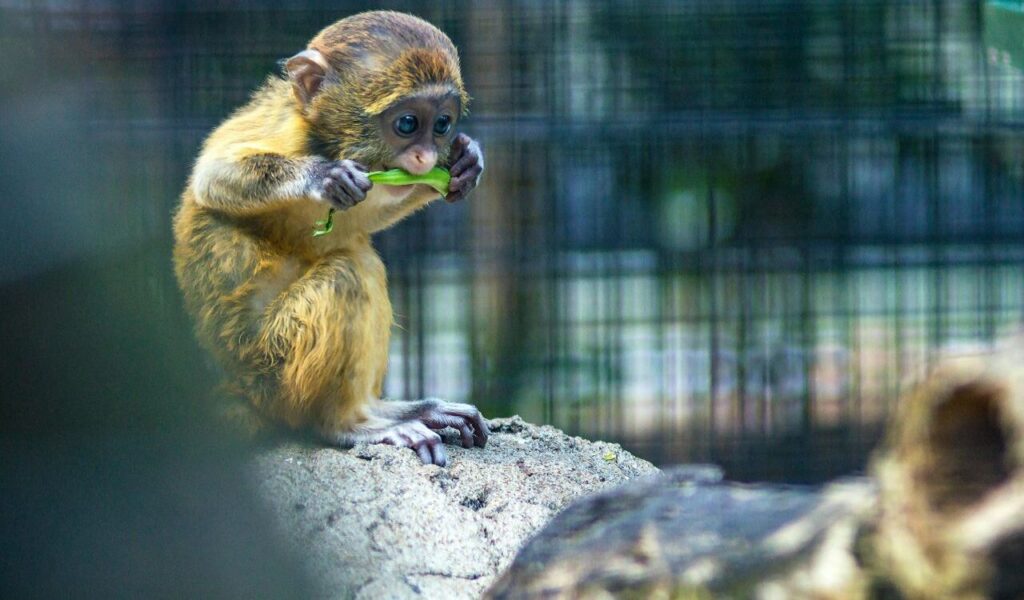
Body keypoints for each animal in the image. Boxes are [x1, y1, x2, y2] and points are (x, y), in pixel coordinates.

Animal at [173, 11, 488, 466]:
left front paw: (466, 162)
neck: (329, 141)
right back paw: (346, 423)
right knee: (349, 273)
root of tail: (241, 388)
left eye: (442, 124)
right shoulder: (286, 130)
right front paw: (322, 177)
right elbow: (212, 178)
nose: (426, 158)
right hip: (273, 369)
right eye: (407, 123)